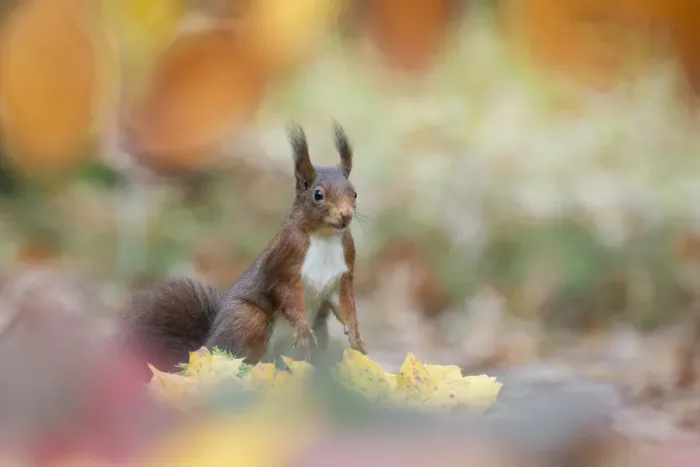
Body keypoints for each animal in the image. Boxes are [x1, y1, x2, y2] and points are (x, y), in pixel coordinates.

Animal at [119, 123, 368, 374]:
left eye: (355, 193)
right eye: (318, 194)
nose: (346, 215)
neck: (324, 237)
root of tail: (204, 345)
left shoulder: (342, 271)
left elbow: (344, 304)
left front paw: (355, 336)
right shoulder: (285, 260)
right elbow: (284, 293)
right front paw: (301, 325)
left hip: (317, 331)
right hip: (248, 318)